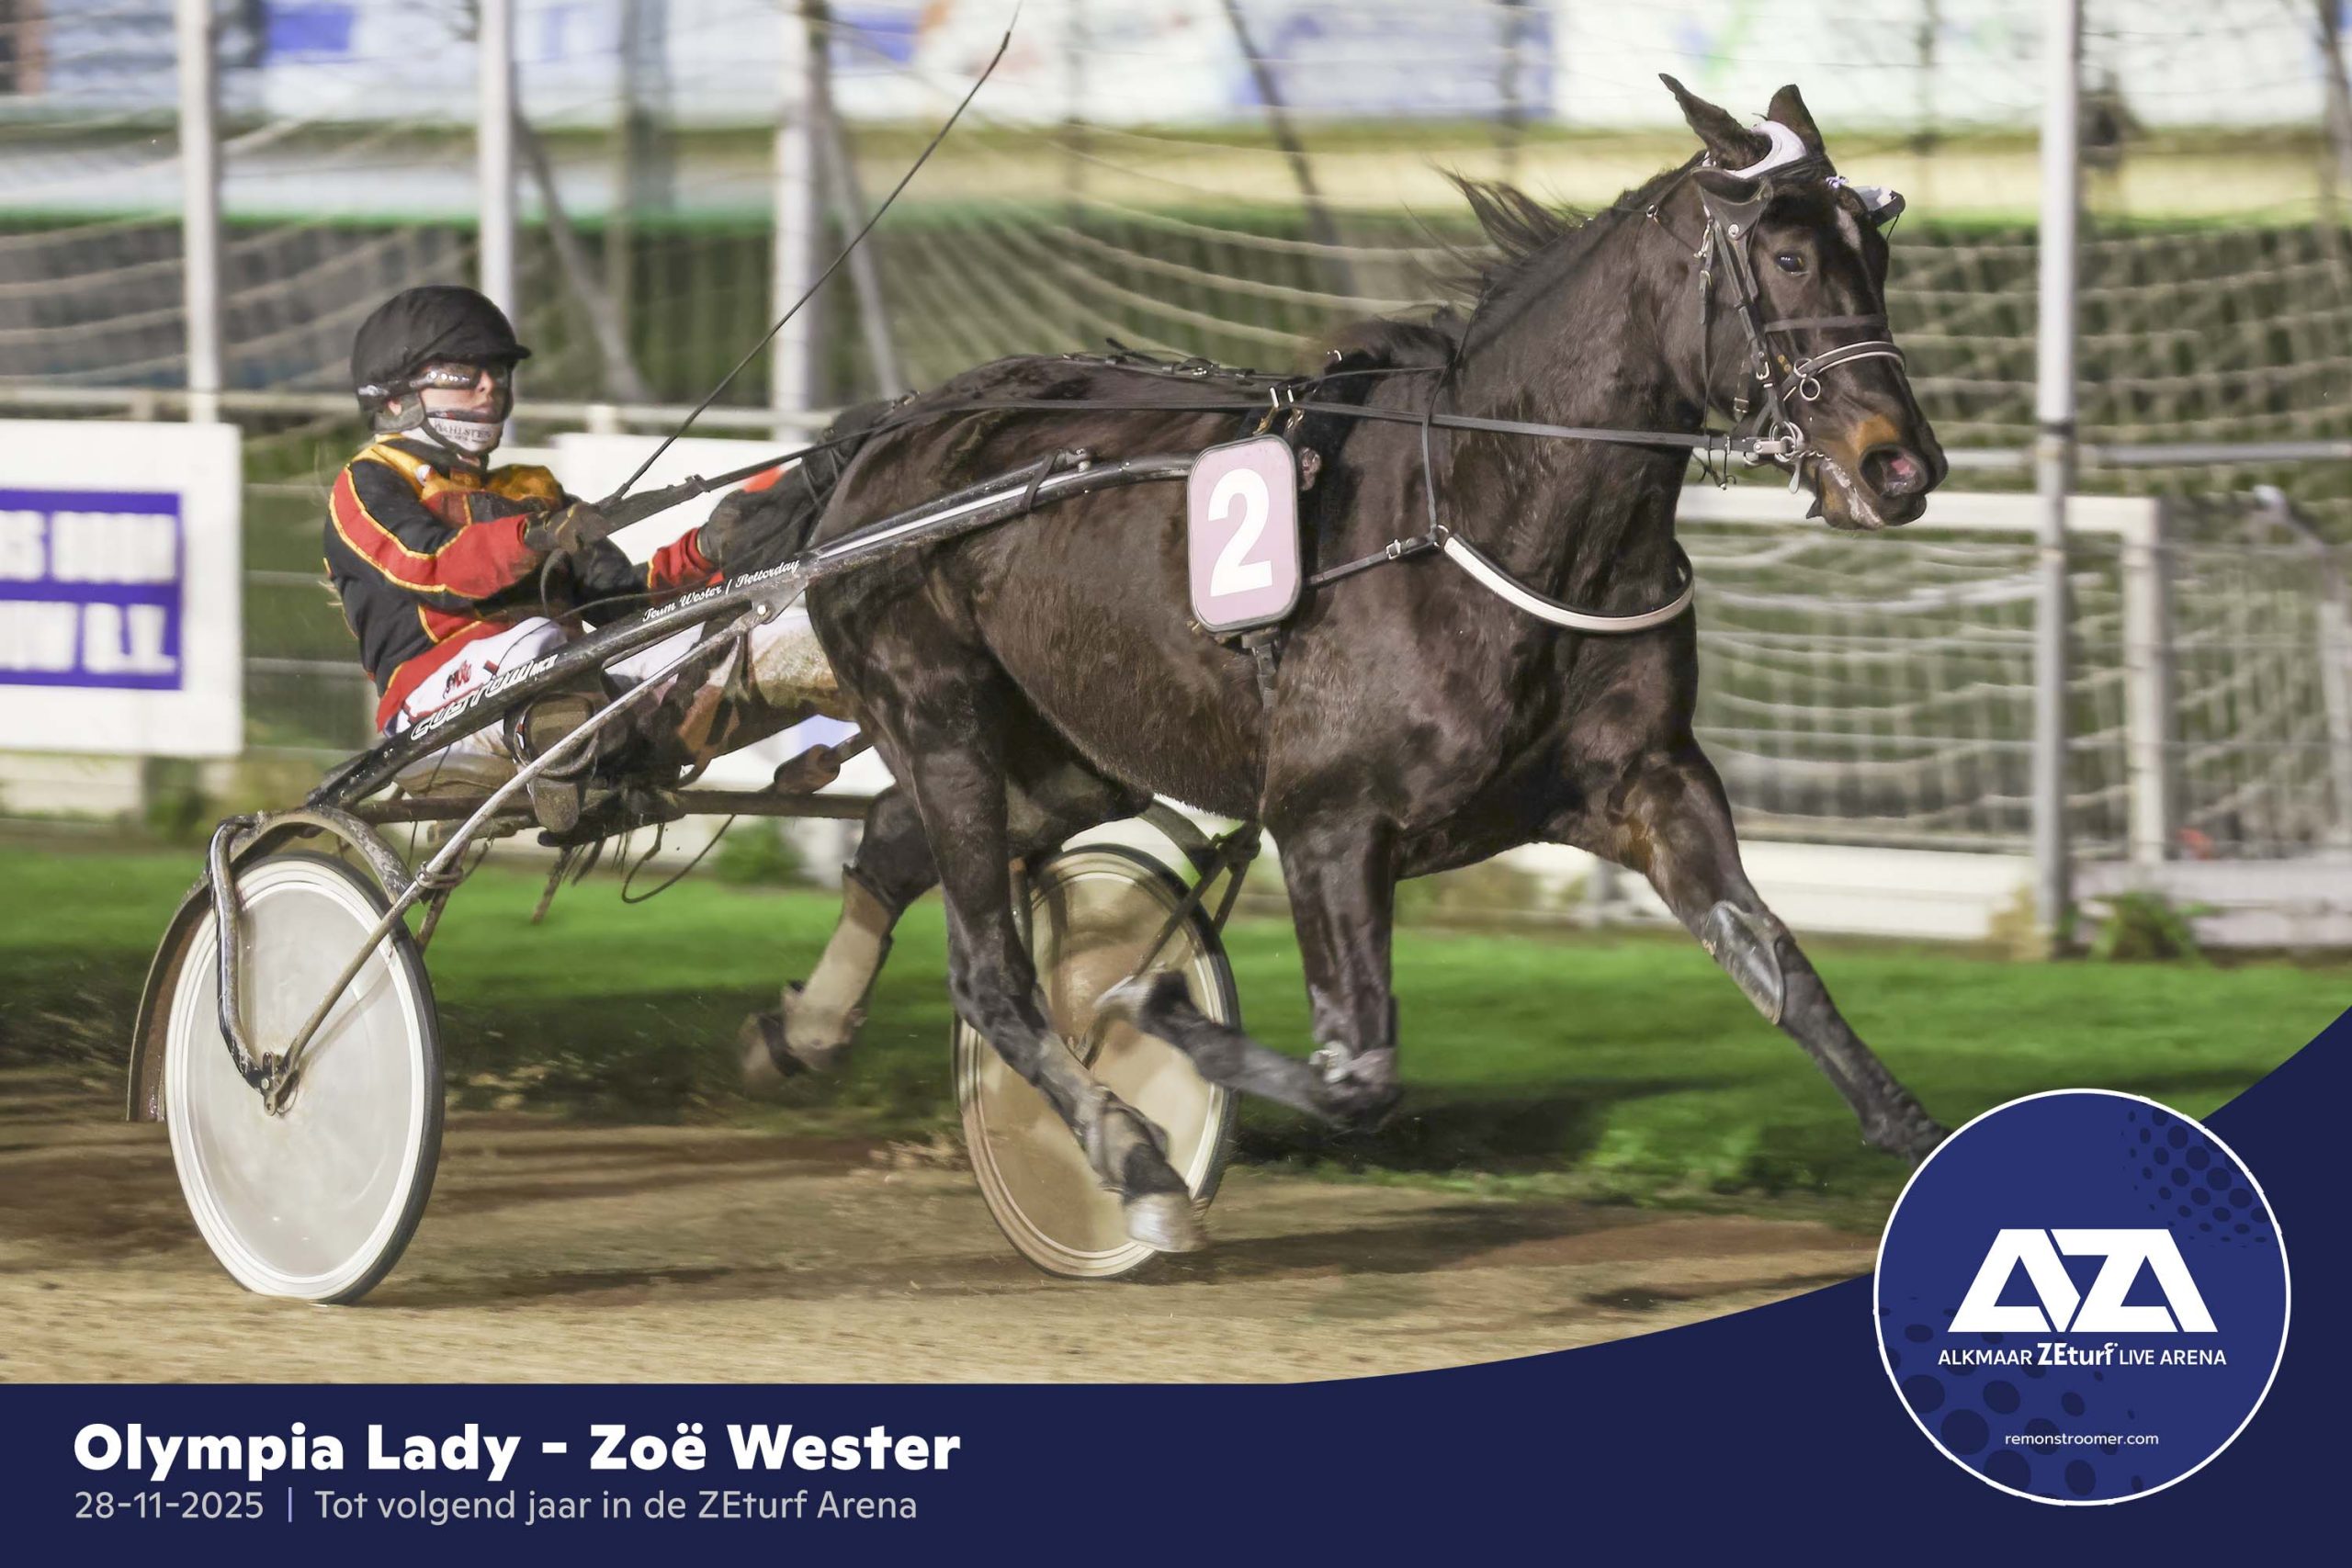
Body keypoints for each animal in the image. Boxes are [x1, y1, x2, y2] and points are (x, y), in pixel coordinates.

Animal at [734, 77, 1951, 1252]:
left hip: (1068, 751)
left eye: (1876, 252)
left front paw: (1913, 1135)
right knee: (990, 975)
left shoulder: (1650, 784)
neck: (1484, 511)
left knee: (896, 840)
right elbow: (1355, 1077)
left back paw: (800, 1030)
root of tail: (891, 431)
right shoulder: (1327, 820)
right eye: (1786, 256)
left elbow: (1779, 967)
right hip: (938, 712)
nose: (1900, 466)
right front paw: (1150, 1011)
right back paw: (1131, 1157)